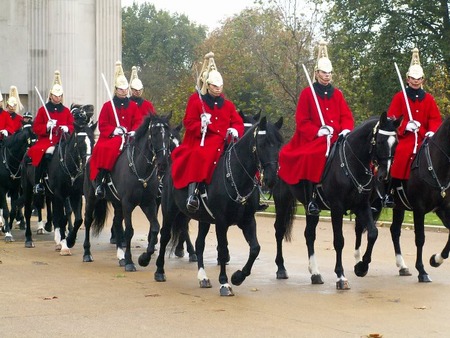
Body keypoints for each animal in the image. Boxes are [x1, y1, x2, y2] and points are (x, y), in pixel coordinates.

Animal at [69, 113, 171, 270]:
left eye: (168, 135)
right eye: (154, 134)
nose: (163, 163)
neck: (140, 169)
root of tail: (89, 159)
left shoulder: (148, 203)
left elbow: (155, 227)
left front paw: (144, 258)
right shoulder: (128, 204)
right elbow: (129, 231)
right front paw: (130, 261)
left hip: (117, 203)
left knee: (117, 223)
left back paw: (120, 256)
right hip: (92, 198)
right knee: (87, 221)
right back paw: (87, 253)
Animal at [151, 117, 284, 298]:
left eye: (279, 144)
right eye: (263, 143)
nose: (271, 179)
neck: (237, 177)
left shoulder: (248, 221)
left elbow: (255, 248)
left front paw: (238, 277)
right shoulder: (221, 222)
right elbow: (222, 250)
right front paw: (225, 282)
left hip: (204, 219)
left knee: (199, 243)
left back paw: (203, 277)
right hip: (170, 211)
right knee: (165, 235)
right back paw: (159, 270)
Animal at [272, 111, 402, 290]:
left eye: (396, 143)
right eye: (381, 141)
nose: (384, 176)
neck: (352, 163)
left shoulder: (363, 206)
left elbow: (373, 233)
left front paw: (361, 267)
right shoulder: (337, 208)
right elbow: (339, 240)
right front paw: (341, 276)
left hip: (311, 208)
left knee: (309, 234)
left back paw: (315, 273)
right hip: (282, 200)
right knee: (279, 230)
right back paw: (281, 268)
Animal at [370, 116, 448, 282]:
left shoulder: (443, 209)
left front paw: (435, 260)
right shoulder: (419, 209)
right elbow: (420, 238)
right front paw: (422, 271)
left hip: (398, 206)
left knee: (394, 230)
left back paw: (402, 266)